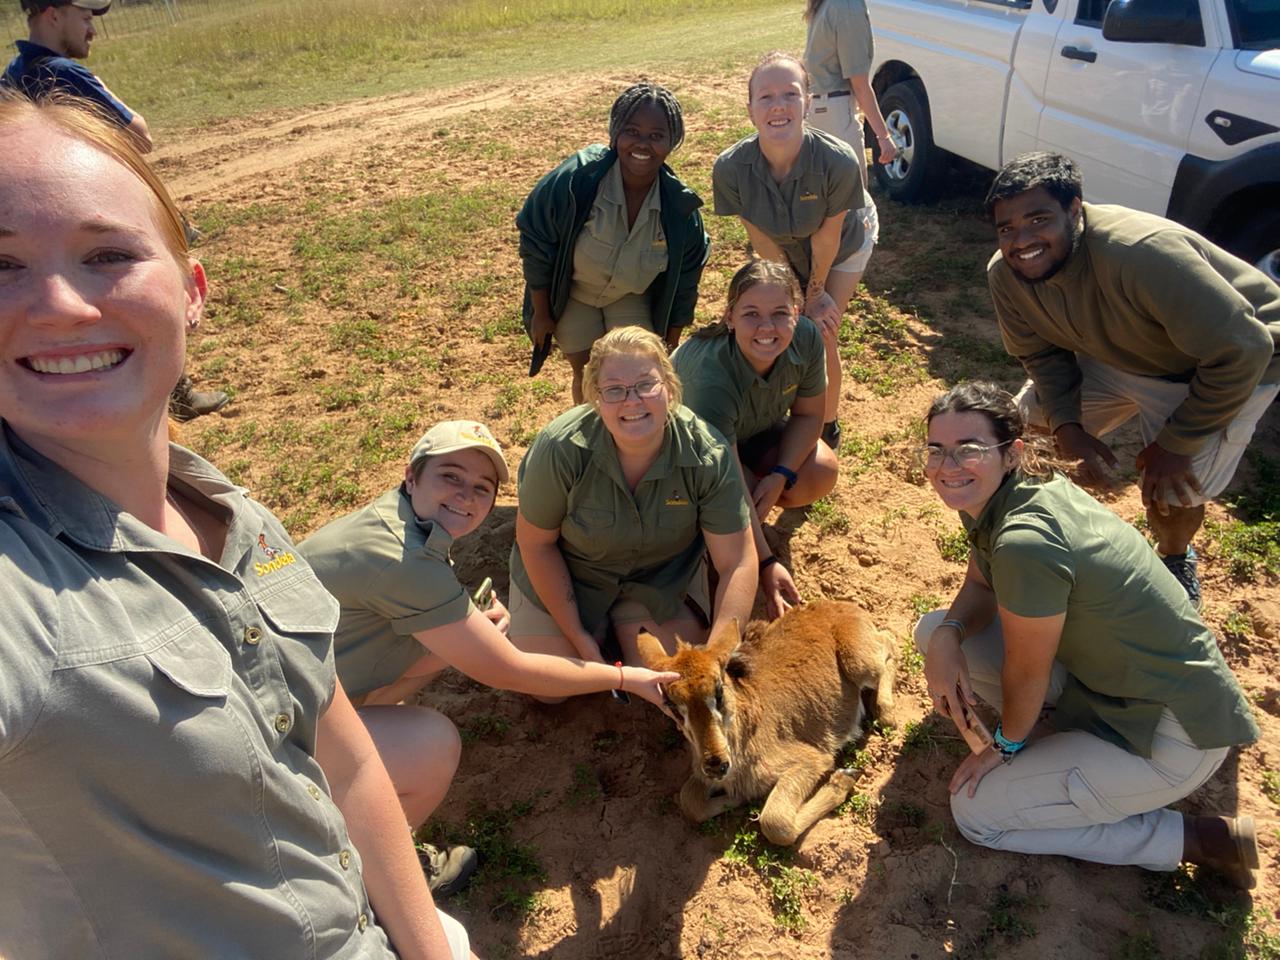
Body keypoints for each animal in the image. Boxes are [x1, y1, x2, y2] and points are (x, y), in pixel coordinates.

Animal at [639, 600, 896, 846]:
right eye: (671, 706)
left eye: (719, 691)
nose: (716, 764)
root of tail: (841, 605)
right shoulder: (704, 775)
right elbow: (689, 801)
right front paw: (738, 797)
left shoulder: (813, 759)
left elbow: (775, 822)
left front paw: (844, 777)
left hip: (859, 664)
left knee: (888, 640)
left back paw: (887, 713)